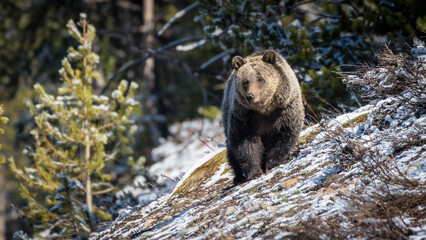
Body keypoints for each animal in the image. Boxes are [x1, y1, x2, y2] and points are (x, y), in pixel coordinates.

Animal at [221, 49, 304, 185]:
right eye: (246, 81)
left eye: (260, 79)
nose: (250, 95)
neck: (265, 108)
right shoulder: (245, 116)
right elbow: (244, 141)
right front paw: (254, 172)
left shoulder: (284, 109)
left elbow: (283, 135)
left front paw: (272, 163)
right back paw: (238, 177)